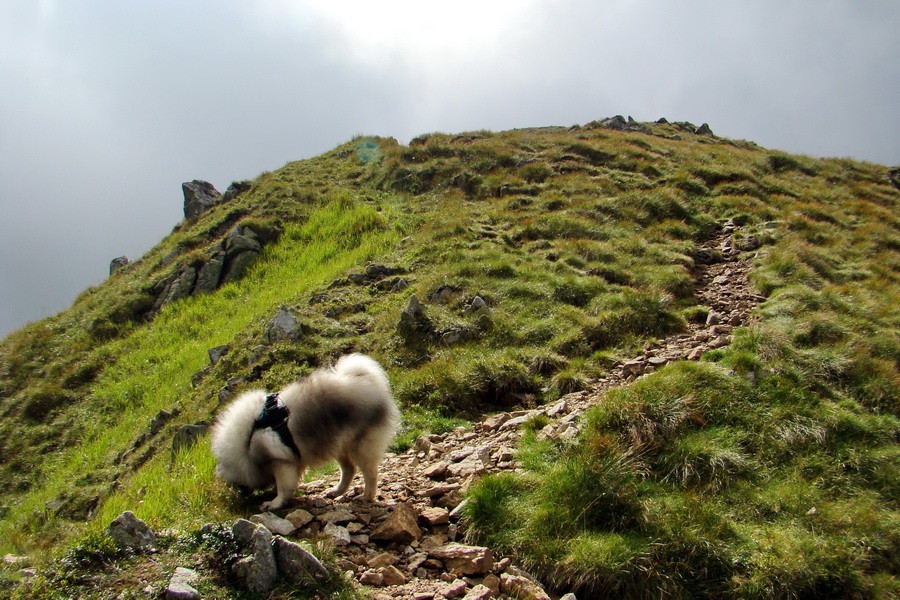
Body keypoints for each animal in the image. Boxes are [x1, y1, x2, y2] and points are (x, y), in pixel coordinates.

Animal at [213, 352, 400, 510]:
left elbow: (283, 485)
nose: (242, 494)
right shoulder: (294, 459)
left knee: (370, 474)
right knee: (349, 470)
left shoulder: (281, 462)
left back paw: (366, 497)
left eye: (238, 484)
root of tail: (366, 382)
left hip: (359, 447)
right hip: (338, 444)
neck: (248, 440)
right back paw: (337, 491)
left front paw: (275, 503)